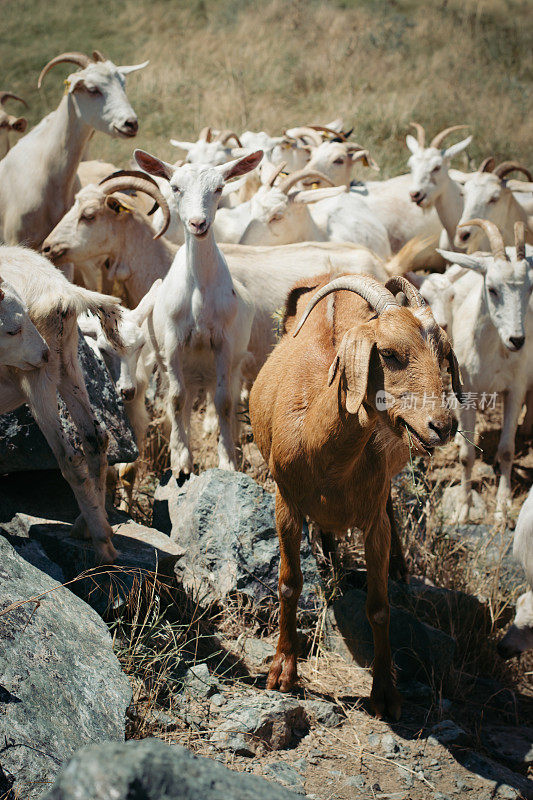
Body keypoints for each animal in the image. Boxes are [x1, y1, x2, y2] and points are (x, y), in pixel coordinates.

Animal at [0, 247, 124, 560]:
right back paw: (88, 524)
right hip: (66, 359)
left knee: (69, 457)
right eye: (12, 330)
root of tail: (63, 291)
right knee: (96, 437)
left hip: (38, 373)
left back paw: (103, 545)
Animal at [249, 270, 462, 720]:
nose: (443, 425)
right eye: (390, 354)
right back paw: (330, 562)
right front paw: (283, 672)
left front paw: (385, 693)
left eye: (444, 354)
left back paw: (398, 569)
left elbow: (379, 607)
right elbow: (289, 584)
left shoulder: (373, 520)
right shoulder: (285, 503)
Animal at [436, 219, 532, 520]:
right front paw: (463, 508)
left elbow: (507, 450)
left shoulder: (515, 389)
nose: (517, 340)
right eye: (492, 288)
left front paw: (502, 508)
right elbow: (467, 455)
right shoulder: (466, 392)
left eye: (530, 289)